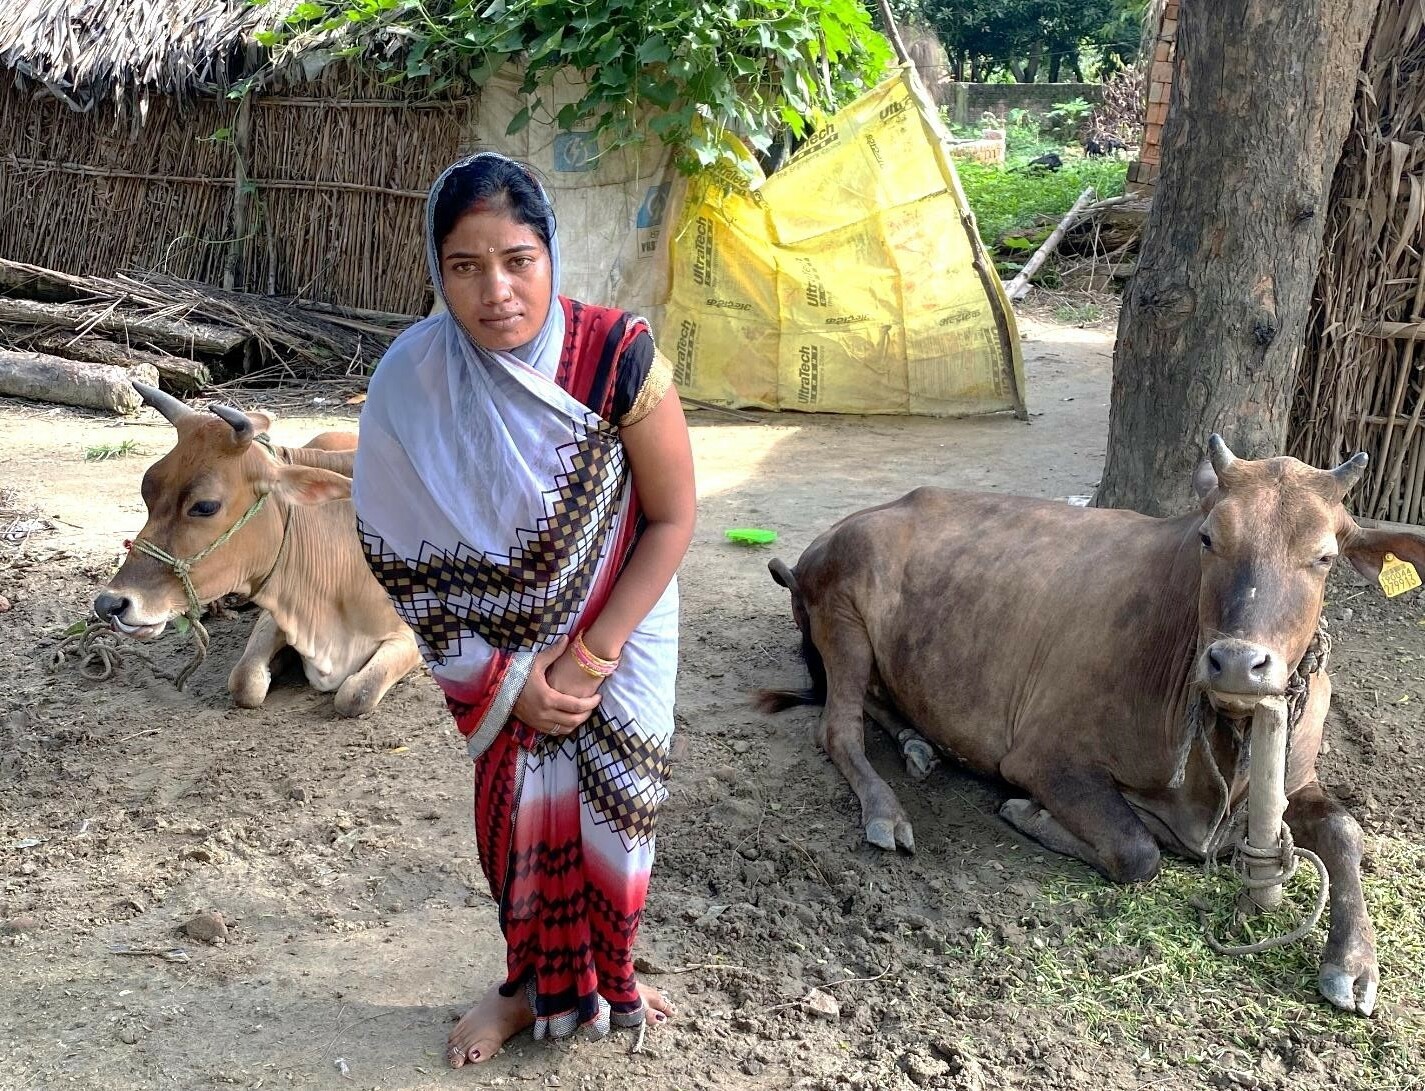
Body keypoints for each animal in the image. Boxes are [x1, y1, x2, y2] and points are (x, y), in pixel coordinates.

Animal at [93, 383, 421, 717]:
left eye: (205, 506)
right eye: (146, 491)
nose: (109, 604)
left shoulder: (411, 634)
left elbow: (357, 694)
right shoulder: (276, 612)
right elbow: (245, 681)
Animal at [760, 437, 1425, 1016]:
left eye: (1325, 556)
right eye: (1208, 538)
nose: (1237, 662)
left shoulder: (1296, 778)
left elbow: (1345, 830)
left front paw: (1354, 964)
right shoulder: (1042, 759)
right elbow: (1136, 850)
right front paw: (1030, 814)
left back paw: (919, 744)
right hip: (842, 620)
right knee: (838, 729)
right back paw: (888, 812)